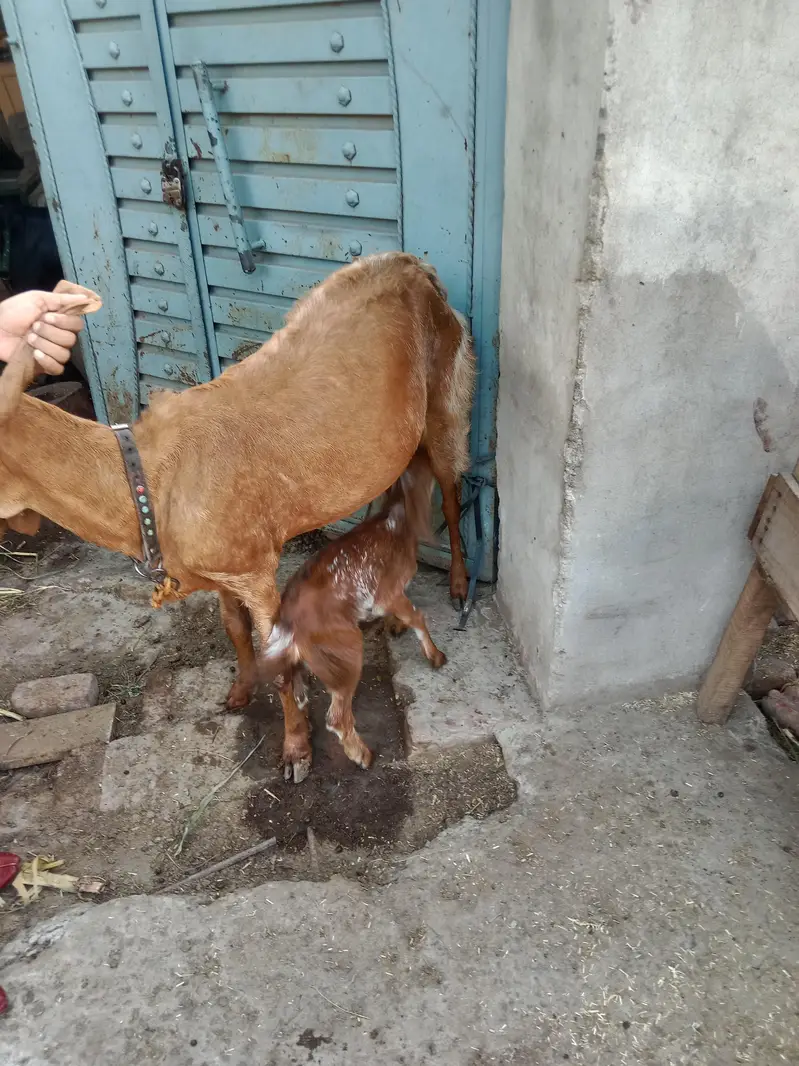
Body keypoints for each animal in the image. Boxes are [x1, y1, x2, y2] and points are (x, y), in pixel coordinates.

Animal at [260, 449, 445, 779]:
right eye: (426, 465)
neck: (396, 522)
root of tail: (290, 623)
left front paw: (396, 627)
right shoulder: (388, 592)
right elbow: (417, 616)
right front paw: (435, 656)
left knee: (299, 690)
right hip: (346, 647)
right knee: (336, 717)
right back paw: (363, 755)